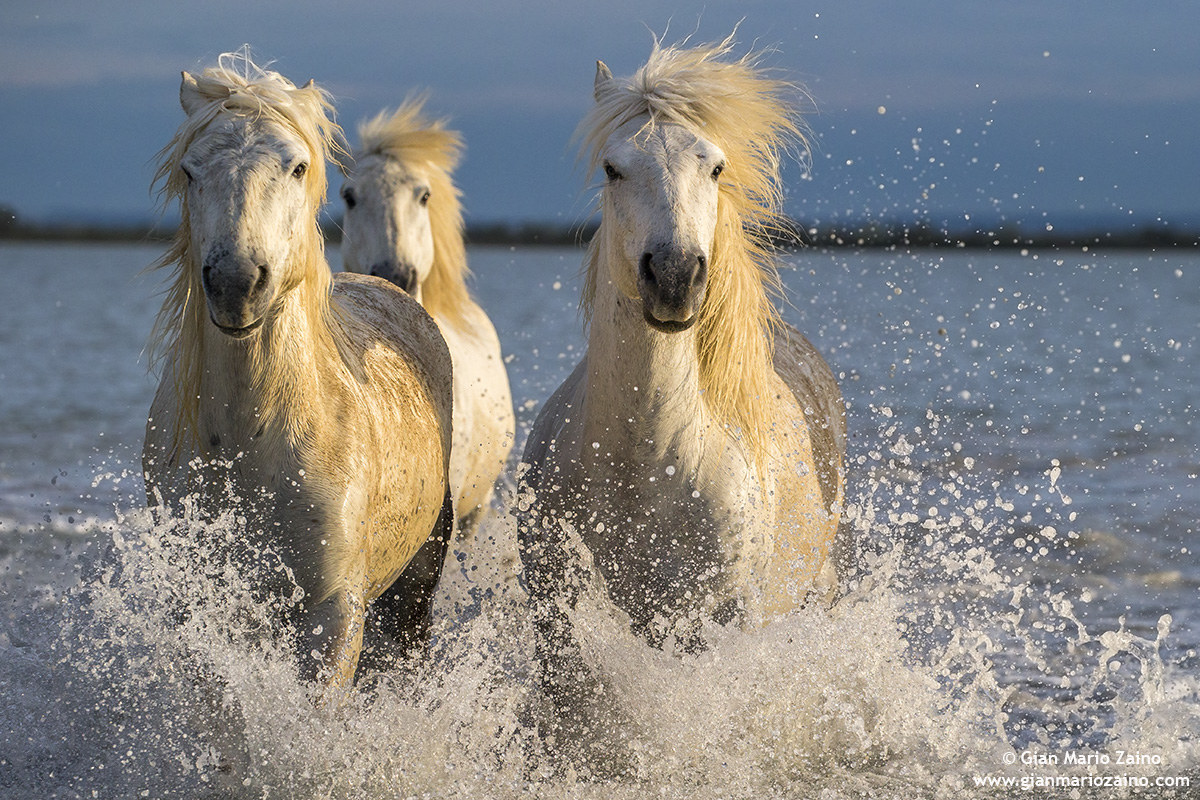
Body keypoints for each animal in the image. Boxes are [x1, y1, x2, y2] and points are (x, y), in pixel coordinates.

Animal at [142, 51, 455, 690]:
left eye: (297, 166)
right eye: (190, 170)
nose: (236, 283)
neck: (251, 441)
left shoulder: (332, 612)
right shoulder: (202, 608)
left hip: (414, 590)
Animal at [516, 36, 849, 755]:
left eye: (715, 166)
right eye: (613, 168)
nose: (673, 276)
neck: (647, 465)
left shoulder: (713, 621)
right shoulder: (556, 616)